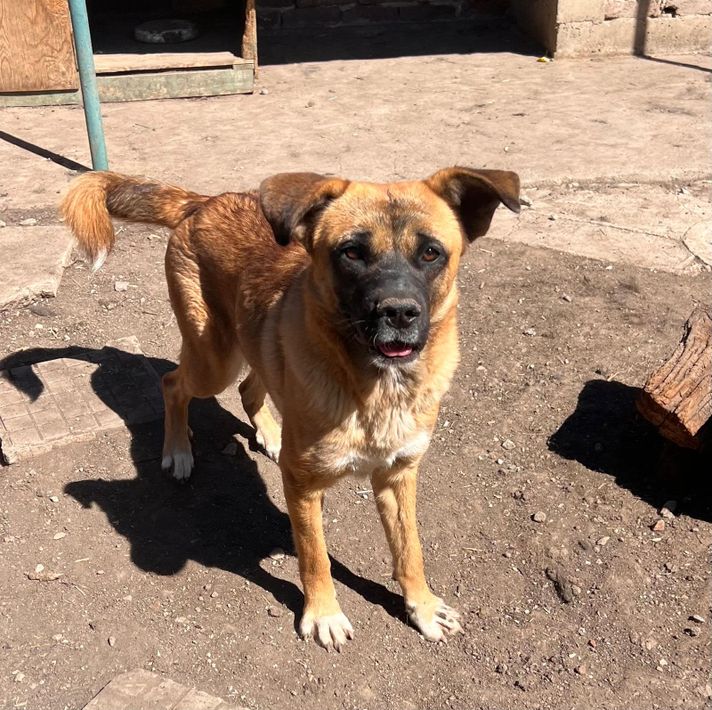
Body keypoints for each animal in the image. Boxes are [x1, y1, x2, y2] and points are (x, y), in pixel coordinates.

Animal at [61, 166, 520, 650]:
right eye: (352, 252)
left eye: (431, 252)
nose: (398, 313)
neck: (375, 390)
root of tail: (205, 201)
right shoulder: (304, 488)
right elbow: (315, 556)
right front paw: (323, 614)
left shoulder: (399, 476)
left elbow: (409, 550)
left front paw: (423, 607)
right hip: (215, 359)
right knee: (173, 384)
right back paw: (179, 451)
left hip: (255, 346)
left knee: (249, 389)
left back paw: (271, 435)